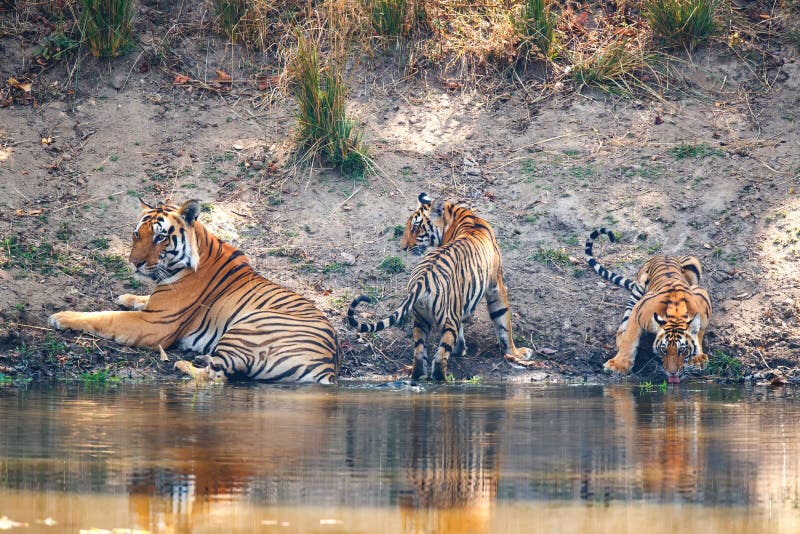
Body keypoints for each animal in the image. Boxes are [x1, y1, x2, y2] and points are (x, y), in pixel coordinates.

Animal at [47, 201, 340, 386]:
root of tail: (328, 365)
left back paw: (183, 366)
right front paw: (126, 298)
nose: (134, 263)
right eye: (136, 234)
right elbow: (140, 300)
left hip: (249, 327)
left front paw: (62, 317)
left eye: (160, 237)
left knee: (216, 378)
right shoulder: (155, 306)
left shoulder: (155, 324)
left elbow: (103, 317)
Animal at [344, 195, 532, 384]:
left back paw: (419, 376)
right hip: (448, 319)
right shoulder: (495, 286)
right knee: (440, 357)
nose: (403, 247)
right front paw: (516, 353)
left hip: (420, 320)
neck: (459, 215)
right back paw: (445, 381)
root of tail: (421, 280)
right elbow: (503, 321)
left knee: (419, 354)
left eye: (415, 228)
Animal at [588, 228, 712, 384]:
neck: (676, 314)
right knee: (622, 328)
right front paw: (618, 365)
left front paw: (697, 358)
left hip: (693, 262)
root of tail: (662, 254)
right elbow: (630, 339)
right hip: (638, 288)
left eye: (682, 350)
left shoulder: (702, 298)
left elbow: (699, 332)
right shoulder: (638, 311)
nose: (672, 372)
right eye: (664, 350)